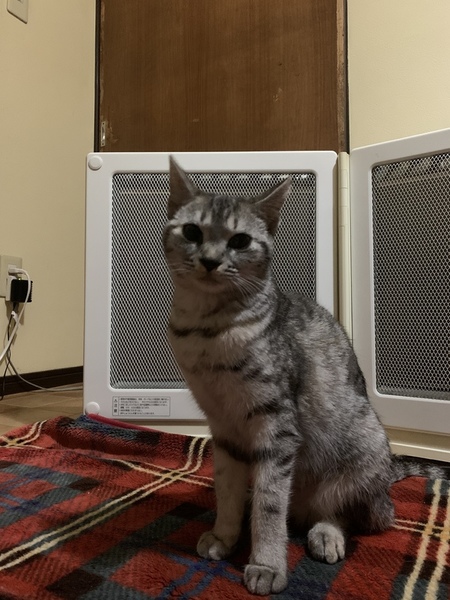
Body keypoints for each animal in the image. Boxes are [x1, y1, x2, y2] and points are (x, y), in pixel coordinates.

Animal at [162, 156, 446, 595]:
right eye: (192, 231)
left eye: (240, 241)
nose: (209, 260)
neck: (206, 331)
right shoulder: (223, 428)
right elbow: (227, 489)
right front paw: (225, 535)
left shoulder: (276, 426)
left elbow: (270, 504)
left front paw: (266, 564)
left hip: (362, 451)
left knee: (344, 513)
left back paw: (326, 534)